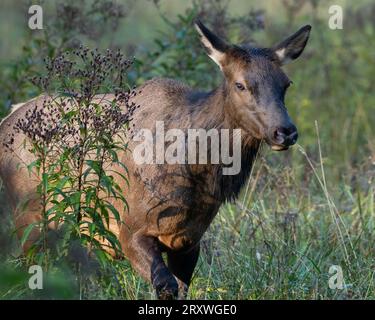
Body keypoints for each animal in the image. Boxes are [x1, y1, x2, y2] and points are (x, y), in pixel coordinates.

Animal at [0, 20, 312, 300]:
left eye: (286, 84)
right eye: (241, 84)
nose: (285, 131)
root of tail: (8, 118)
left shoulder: (189, 241)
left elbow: (181, 289)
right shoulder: (129, 229)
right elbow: (165, 287)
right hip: (28, 217)